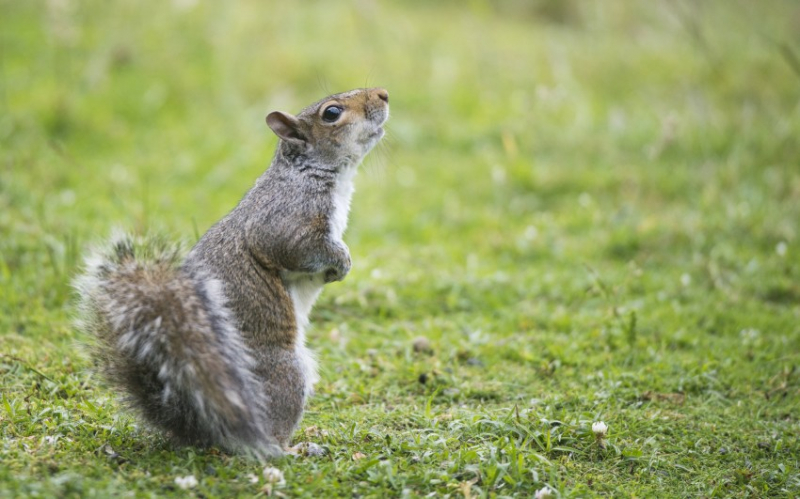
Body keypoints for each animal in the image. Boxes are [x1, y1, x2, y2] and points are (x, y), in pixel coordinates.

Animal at [75, 87, 390, 458]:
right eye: (332, 113)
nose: (383, 94)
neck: (312, 172)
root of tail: (201, 425)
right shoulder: (285, 220)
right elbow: (297, 248)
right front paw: (342, 262)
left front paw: (336, 271)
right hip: (284, 371)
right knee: (269, 437)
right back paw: (292, 449)